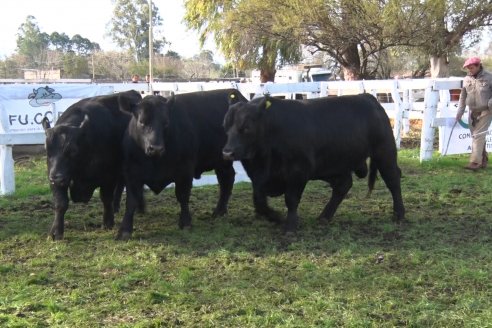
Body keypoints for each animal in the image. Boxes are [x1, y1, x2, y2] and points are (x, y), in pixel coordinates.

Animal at [42, 91, 142, 240]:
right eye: (47, 150)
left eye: (72, 150)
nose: (57, 177)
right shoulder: (55, 177)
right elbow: (60, 203)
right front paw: (55, 232)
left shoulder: (109, 176)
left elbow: (106, 198)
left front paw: (107, 222)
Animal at [117, 88, 248, 240]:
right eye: (142, 122)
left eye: (166, 122)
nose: (156, 148)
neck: (155, 161)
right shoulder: (131, 173)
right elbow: (131, 201)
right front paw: (125, 230)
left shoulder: (185, 171)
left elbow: (183, 196)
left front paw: (185, 222)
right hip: (222, 160)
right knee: (226, 179)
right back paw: (219, 212)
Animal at [222, 92, 404, 232]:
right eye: (225, 127)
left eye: (246, 127)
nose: (227, 152)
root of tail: (367, 97)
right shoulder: (259, 178)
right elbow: (259, 201)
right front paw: (276, 217)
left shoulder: (298, 171)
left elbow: (291, 199)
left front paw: (290, 226)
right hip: (332, 165)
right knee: (343, 185)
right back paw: (324, 216)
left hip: (384, 153)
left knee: (393, 180)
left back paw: (399, 214)